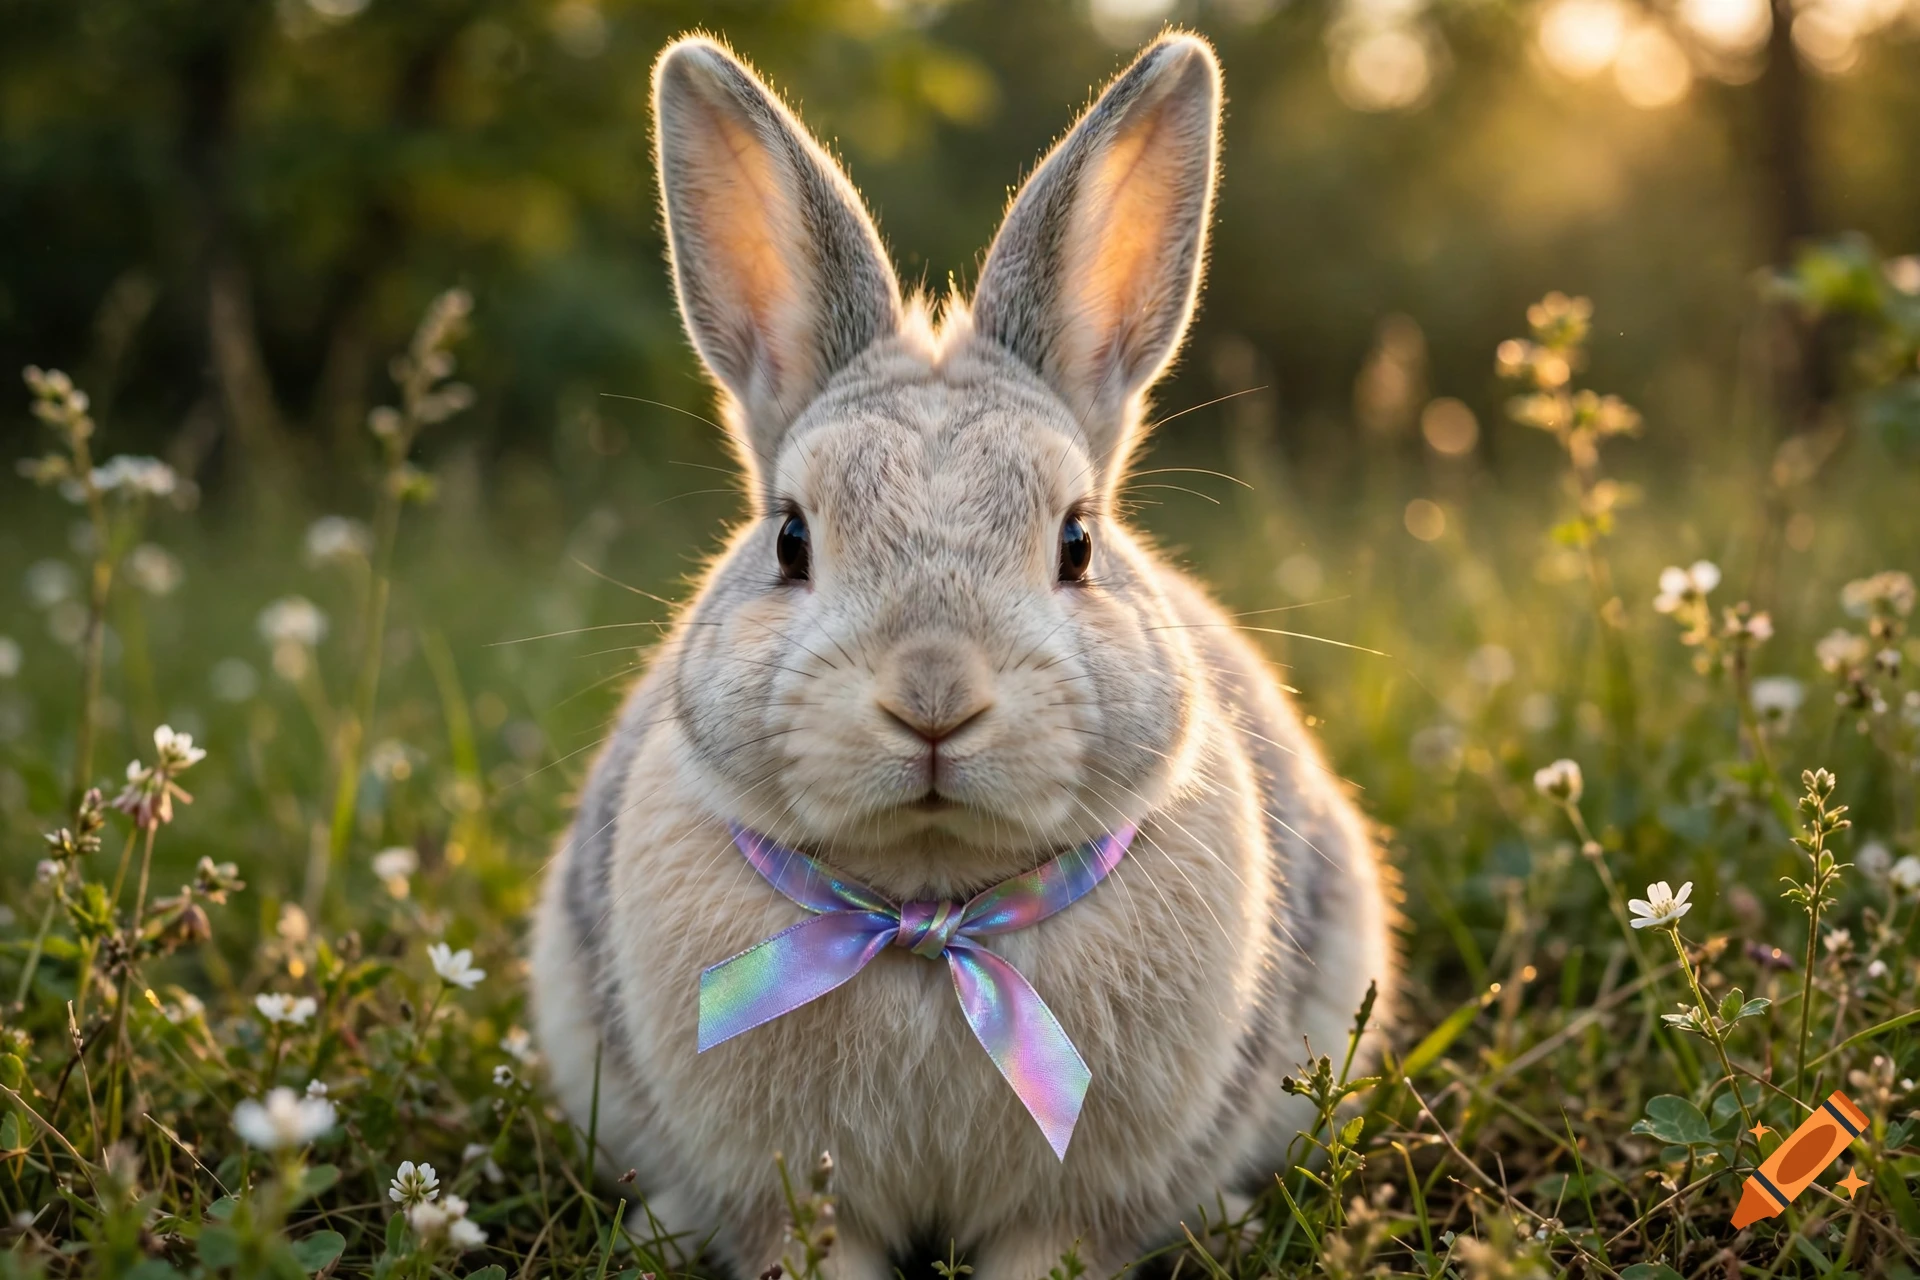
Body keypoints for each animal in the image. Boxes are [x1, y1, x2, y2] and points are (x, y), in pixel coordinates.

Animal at [529, 28, 1398, 1280]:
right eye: (790, 539)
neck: (930, 911)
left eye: (1077, 541)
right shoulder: (794, 1199)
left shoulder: (1072, 1207)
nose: (933, 696)